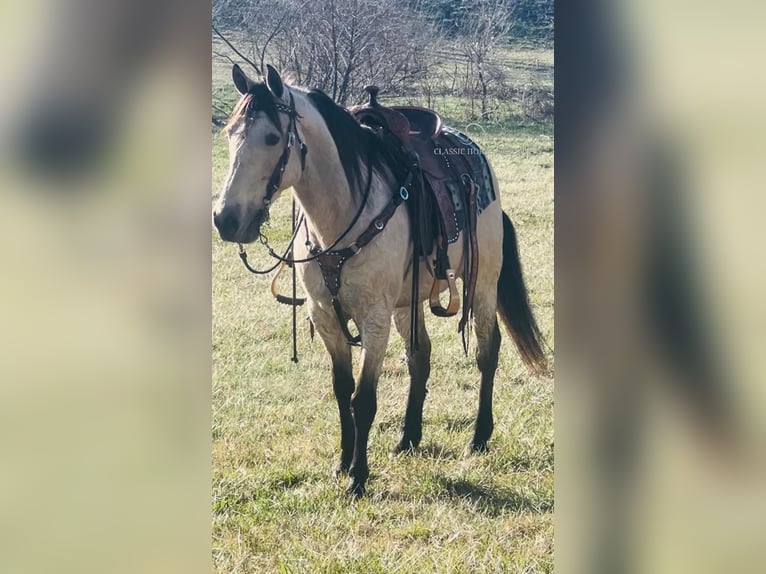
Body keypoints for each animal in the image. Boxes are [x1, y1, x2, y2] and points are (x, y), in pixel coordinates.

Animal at [213, 62, 548, 496]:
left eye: (271, 138)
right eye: (229, 133)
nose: (226, 219)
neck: (342, 215)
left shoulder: (374, 319)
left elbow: (364, 399)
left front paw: (358, 476)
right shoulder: (325, 316)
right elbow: (342, 391)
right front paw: (342, 463)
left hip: (483, 286)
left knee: (486, 352)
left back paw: (479, 436)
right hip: (408, 302)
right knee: (420, 357)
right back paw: (408, 438)